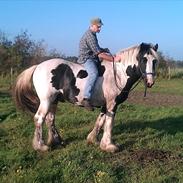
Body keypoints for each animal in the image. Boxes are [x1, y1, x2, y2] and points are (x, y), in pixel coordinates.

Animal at [13, 43, 159, 153]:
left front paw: (93, 139)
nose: (150, 82)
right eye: (143, 59)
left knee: (50, 119)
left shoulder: (105, 105)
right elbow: (109, 124)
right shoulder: (112, 104)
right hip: (46, 100)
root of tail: (38, 66)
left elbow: (100, 121)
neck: (118, 74)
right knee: (39, 118)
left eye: (154, 61)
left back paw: (57, 141)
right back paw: (41, 146)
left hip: (53, 101)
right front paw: (109, 146)